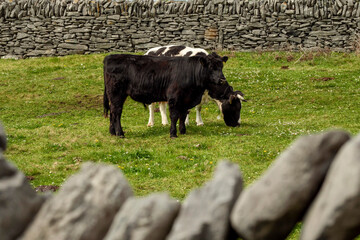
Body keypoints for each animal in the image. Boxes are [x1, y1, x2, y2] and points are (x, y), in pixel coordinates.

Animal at [103, 52, 239, 139]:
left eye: (221, 66)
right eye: (211, 67)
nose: (222, 79)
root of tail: (110, 56)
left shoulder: (186, 99)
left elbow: (183, 115)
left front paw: (183, 131)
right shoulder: (174, 98)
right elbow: (174, 116)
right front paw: (173, 134)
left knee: (112, 112)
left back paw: (112, 132)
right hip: (117, 94)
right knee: (116, 112)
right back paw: (120, 133)